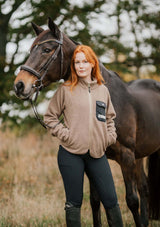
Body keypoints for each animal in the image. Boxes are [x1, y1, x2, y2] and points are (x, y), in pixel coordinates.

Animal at [13, 18, 160, 226]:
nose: (19, 85)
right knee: (144, 187)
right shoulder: (98, 158)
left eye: (47, 49)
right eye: (31, 50)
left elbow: (131, 201)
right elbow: (96, 201)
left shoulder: (126, 156)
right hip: (139, 156)